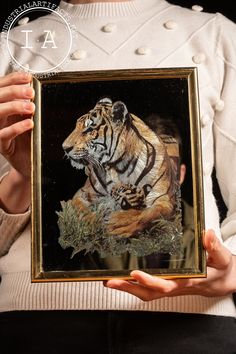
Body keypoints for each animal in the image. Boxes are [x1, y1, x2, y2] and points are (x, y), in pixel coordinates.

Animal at [62, 97, 179, 238]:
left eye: (89, 130)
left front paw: (122, 223)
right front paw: (91, 222)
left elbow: (149, 214)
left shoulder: (163, 199)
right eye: (76, 126)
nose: (65, 147)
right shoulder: (82, 193)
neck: (118, 167)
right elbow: (80, 207)